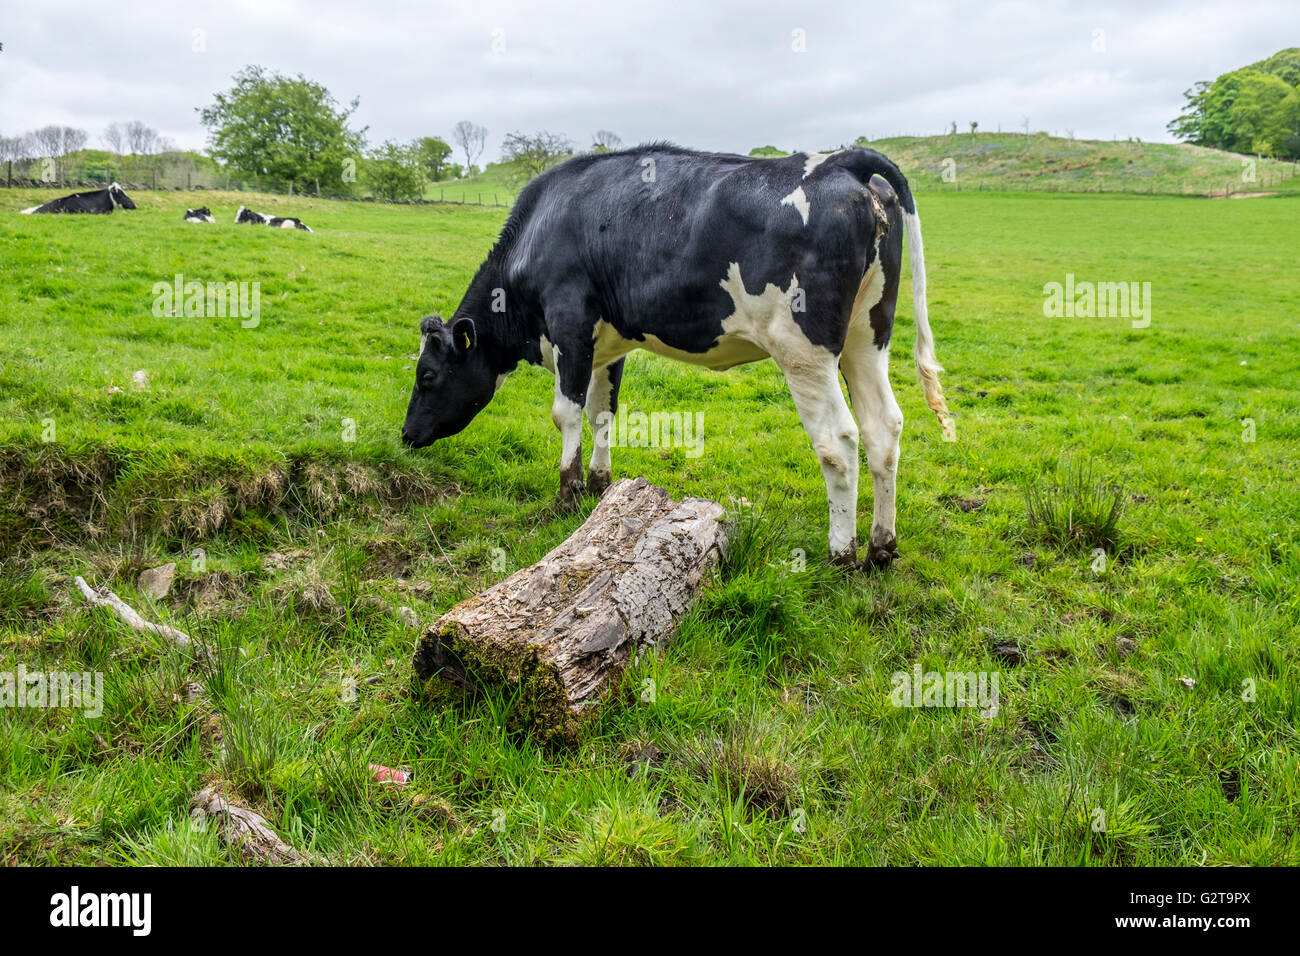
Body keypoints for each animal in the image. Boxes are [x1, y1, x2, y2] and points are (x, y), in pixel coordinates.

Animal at [401, 145, 948, 570]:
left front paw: (565, 495)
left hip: (802, 350)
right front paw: (599, 485)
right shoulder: (607, 344)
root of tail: (841, 159)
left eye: (427, 374)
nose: (406, 435)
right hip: (866, 336)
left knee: (838, 440)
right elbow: (602, 413)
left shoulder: (569, 326)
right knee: (883, 428)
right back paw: (880, 547)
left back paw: (842, 552)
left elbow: (567, 415)